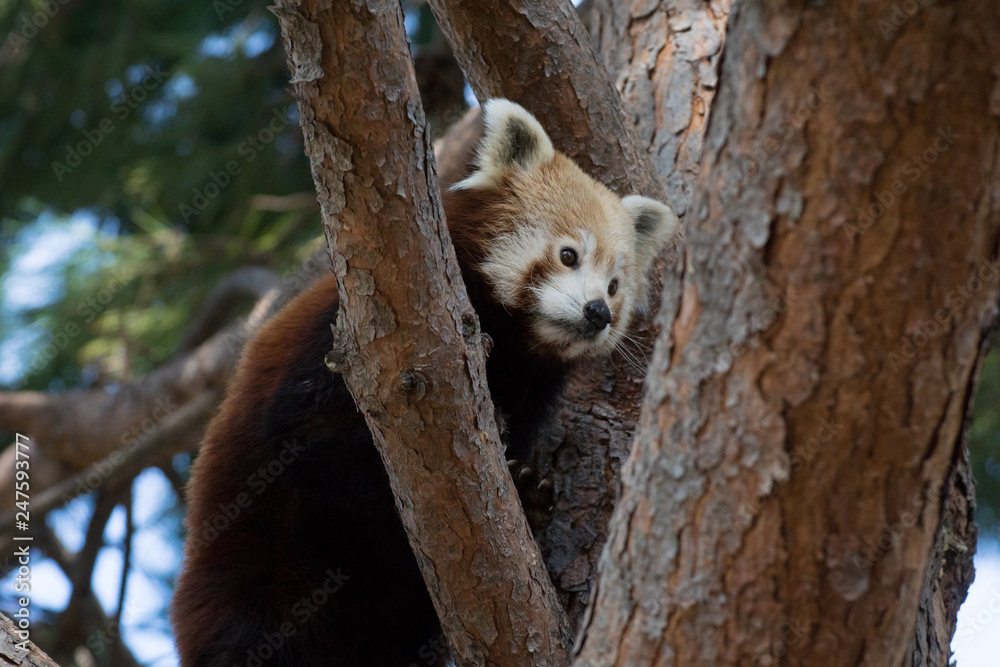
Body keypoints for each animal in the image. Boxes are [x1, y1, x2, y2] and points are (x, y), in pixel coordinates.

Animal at [172, 99, 678, 667]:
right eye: (569, 255)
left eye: (614, 287)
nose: (597, 314)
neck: (507, 344)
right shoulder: (342, 347)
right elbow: (312, 441)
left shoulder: (531, 390)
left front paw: (528, 488)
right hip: (252, 571)